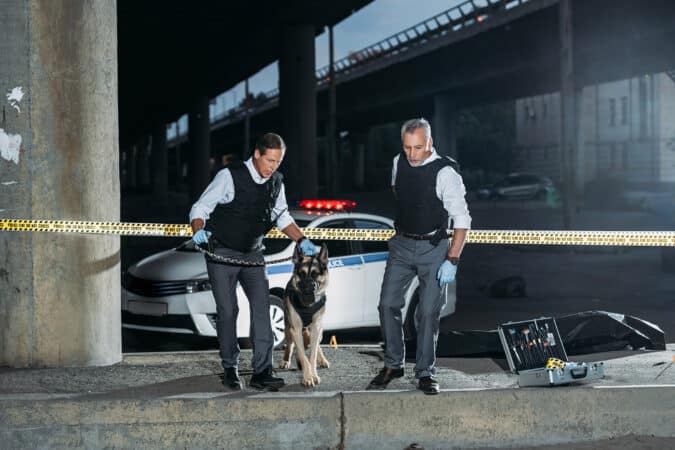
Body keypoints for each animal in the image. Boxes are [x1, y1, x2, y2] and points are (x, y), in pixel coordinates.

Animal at [278, 243, 332, 386]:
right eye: (301, 274)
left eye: (315, 274)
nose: (308, 287)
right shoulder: (296, 329)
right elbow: (303, 356)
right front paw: (307, 377)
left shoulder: (316, 327)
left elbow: (312, 355)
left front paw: (313, 375)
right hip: (288, 328)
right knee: (290, 345)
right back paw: (286, 360)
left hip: (319, 330)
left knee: (317, 345)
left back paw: (322, 359)